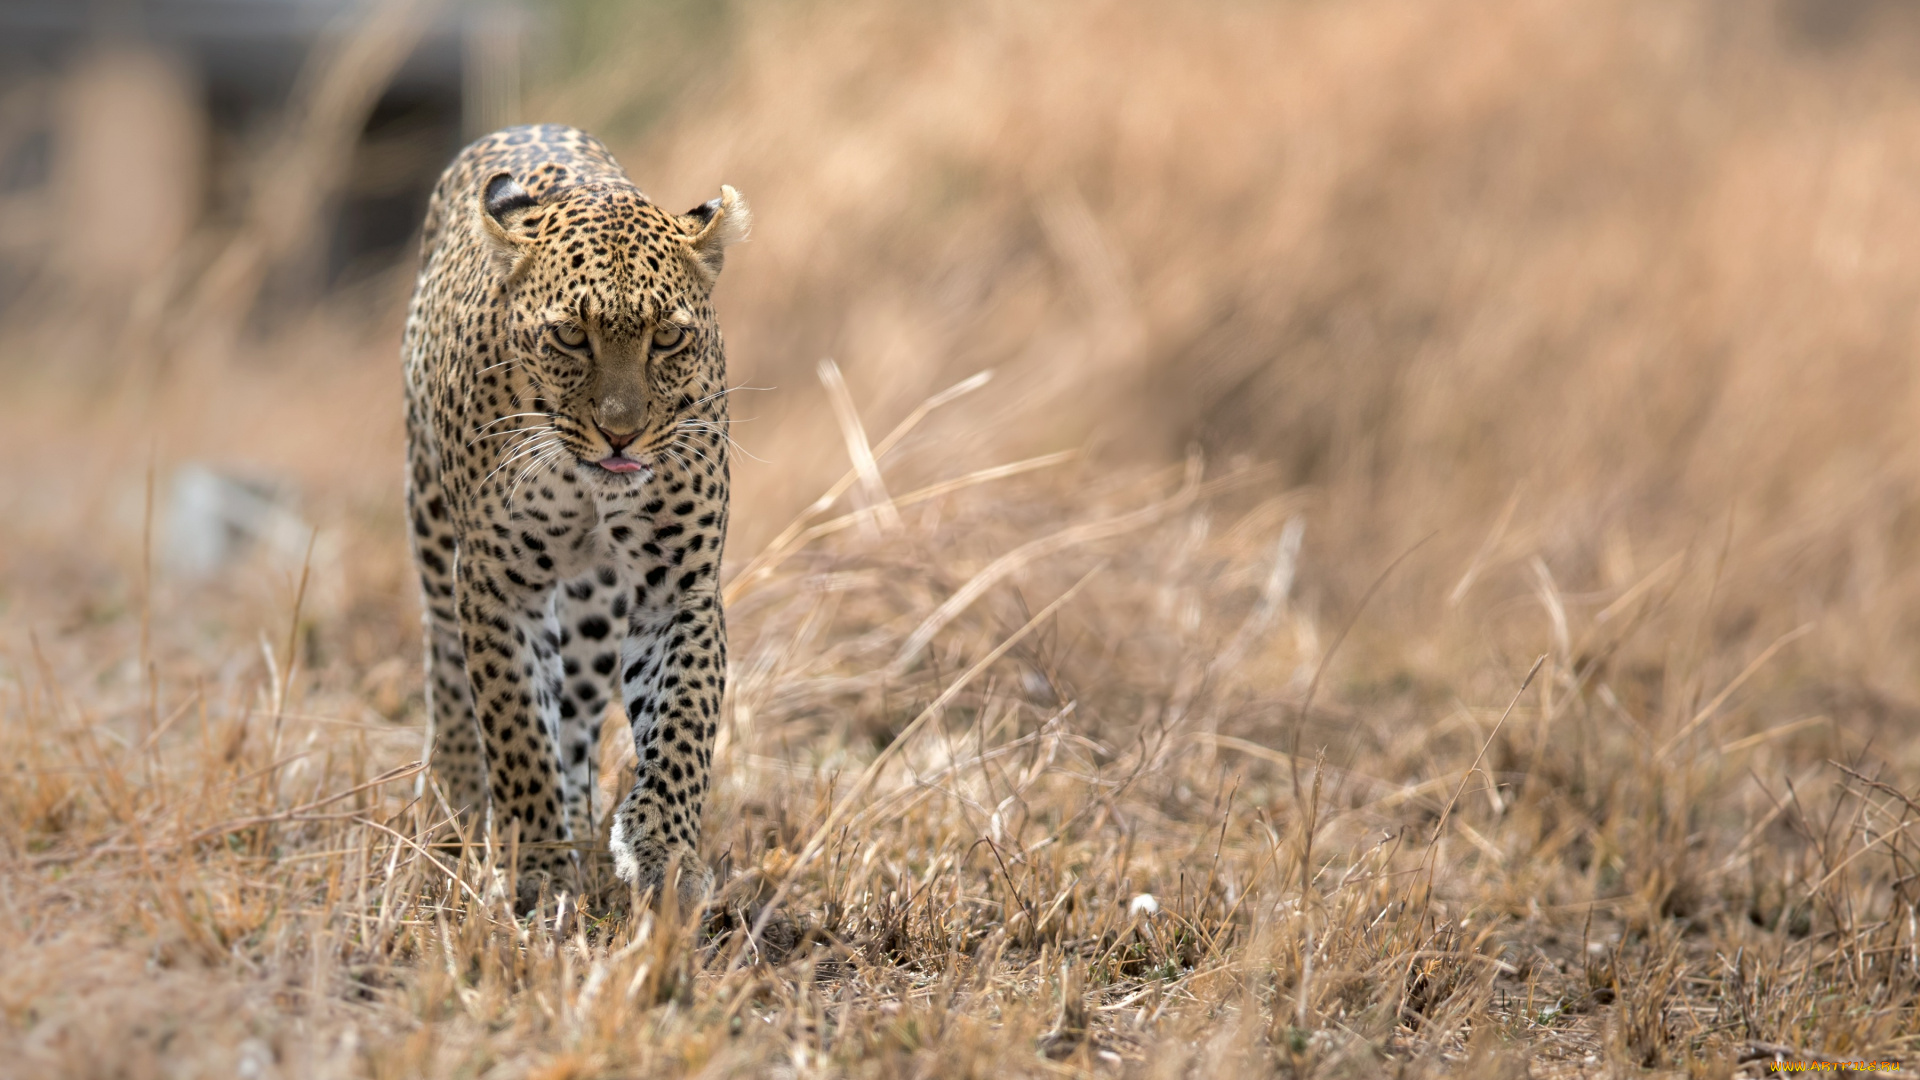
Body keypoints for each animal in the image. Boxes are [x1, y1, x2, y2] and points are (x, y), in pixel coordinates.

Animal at [401, 122, 744, 903]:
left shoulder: (680, 584)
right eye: (569, 337)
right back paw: (457, 802)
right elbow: (515, 725)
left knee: (580, 711)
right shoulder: (495, 583)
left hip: (593, 610)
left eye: (668, 338)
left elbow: (683, 720)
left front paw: (662, 850)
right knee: (447, 668)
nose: (621, 433)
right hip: (431, 525)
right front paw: (534, 868)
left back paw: (585, 817)